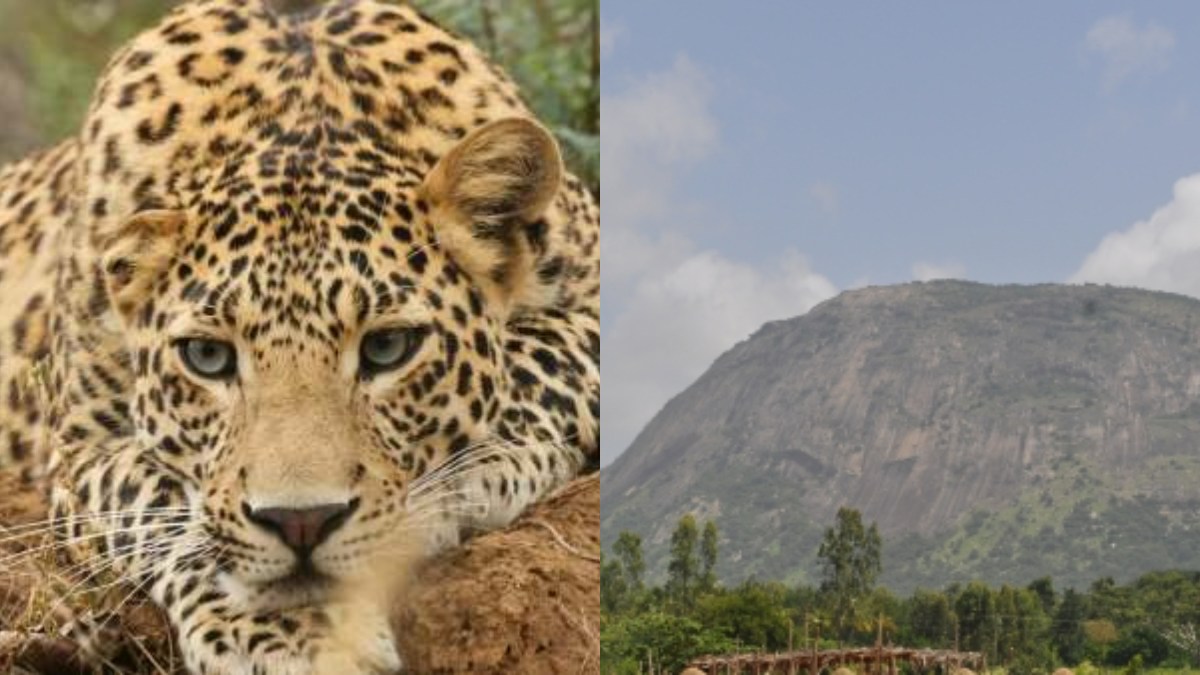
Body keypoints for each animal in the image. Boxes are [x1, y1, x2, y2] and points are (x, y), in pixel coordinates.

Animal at [0, 0, 598, 672]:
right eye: (207, 357)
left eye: (386, 348)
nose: (301, 524)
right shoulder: (81, 450)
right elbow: (163, 504)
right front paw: (297, 636)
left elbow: (539, 357)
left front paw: (465, 479)